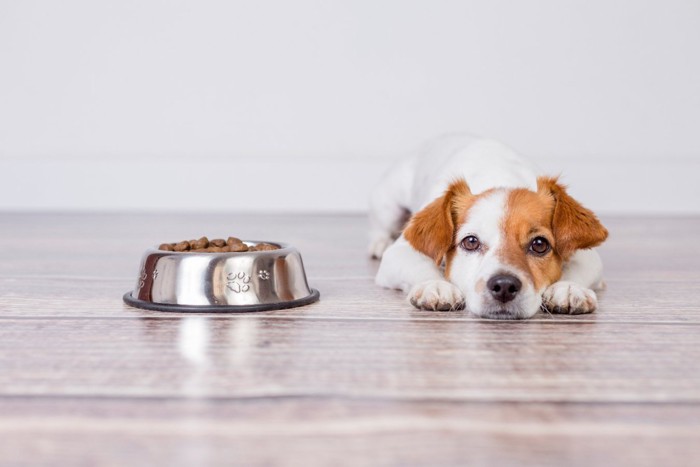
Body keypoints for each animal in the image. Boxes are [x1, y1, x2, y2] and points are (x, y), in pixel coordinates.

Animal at [372, 133, 608, 320]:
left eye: (540, 244)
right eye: (470, 242)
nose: (504, 286)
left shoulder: (587, 256)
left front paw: (568, 288)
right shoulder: (399, 253)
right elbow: (421, 264)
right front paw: (435, 284)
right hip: (389, 206)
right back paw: (378, 244)